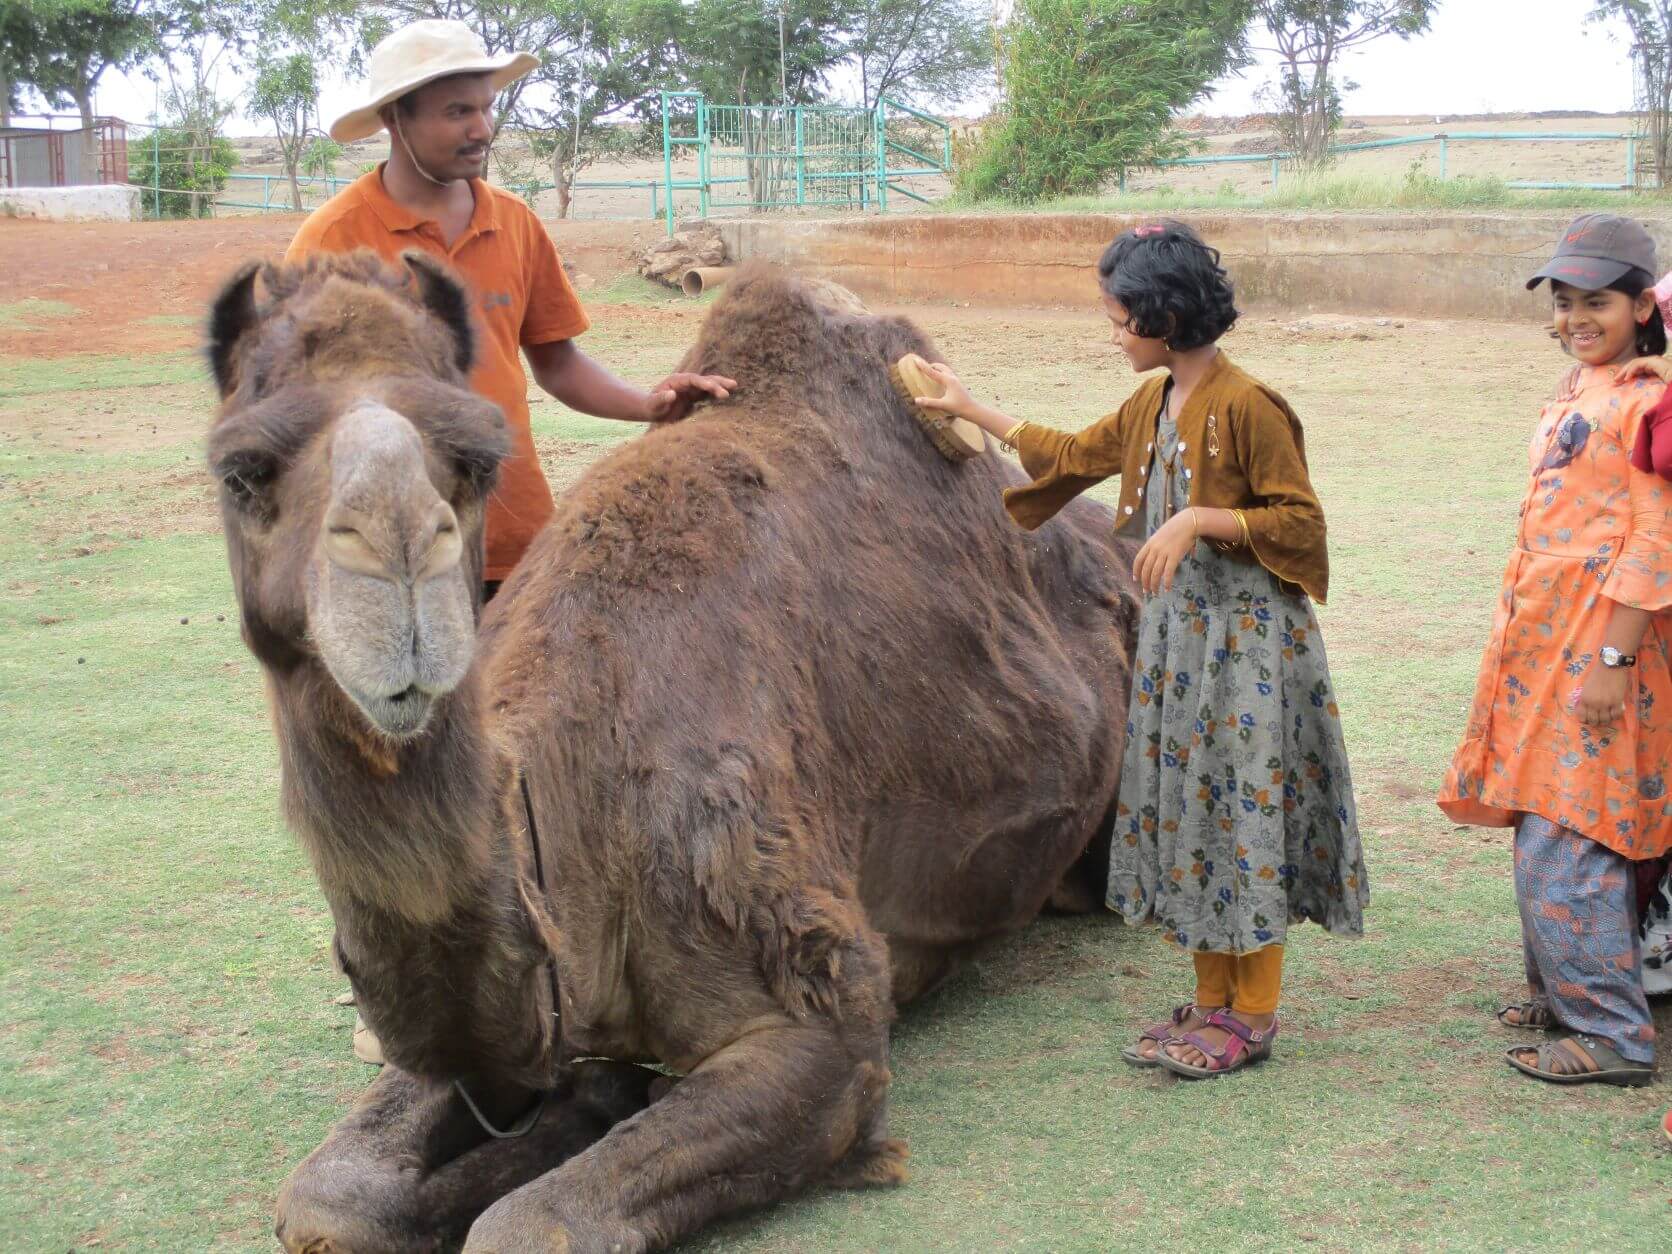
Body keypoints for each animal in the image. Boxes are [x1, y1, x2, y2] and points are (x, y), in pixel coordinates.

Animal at [205, 250, 1136, 1250]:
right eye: (240, 468)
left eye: (478, 456)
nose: (394, 554)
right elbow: (331, 1198)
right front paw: (586, 1100)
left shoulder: (815, 1011)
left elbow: (527, 1227)